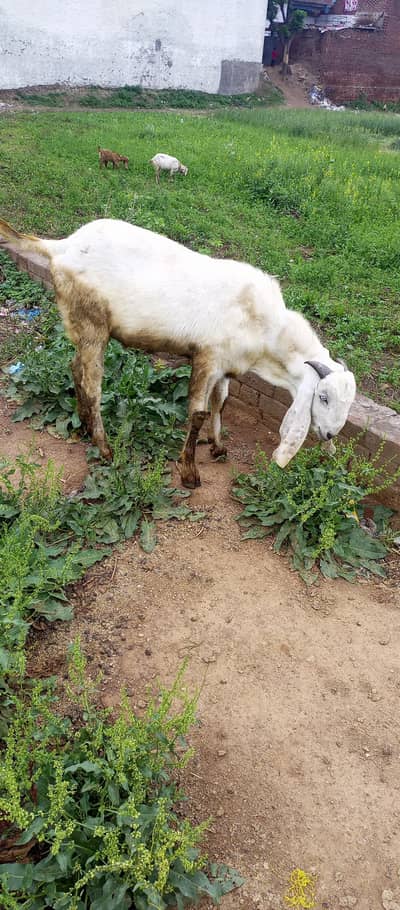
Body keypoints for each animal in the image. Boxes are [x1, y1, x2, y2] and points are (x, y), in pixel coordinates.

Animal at [0, 217, 356, 488]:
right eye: (323, 397)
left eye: (347, 403)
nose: (329, 434)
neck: (268, 326)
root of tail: (59, 246)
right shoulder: (207, 358)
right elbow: (198, 413)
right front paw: (189, 472)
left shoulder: (226, 365)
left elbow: (221, 402)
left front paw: (218, 447)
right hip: (92, 323)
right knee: (92, 385)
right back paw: (105, 448)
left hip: (81, 327)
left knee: (75, 367)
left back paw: (85, 425)